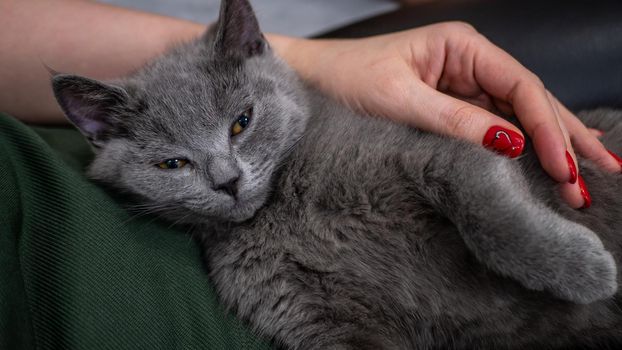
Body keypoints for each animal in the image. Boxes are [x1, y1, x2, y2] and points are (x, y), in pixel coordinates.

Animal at [52, 0, 622, 350]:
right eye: (173, 164)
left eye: (241, 122)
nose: (226, 181)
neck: (285, 207)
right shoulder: (315, 320)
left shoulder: (449, 147)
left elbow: (489, 214)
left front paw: (583, 270)